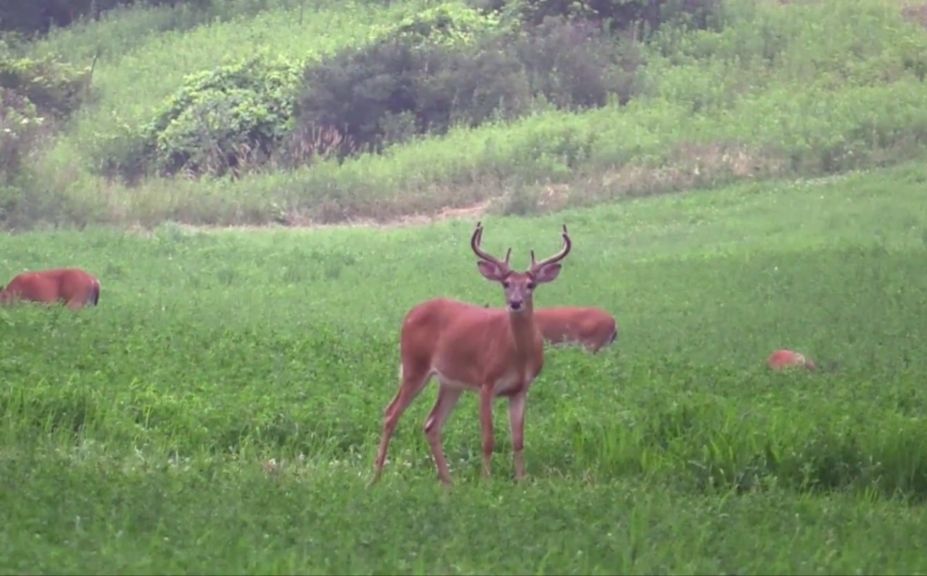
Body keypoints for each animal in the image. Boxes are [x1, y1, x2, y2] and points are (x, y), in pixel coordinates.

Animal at [374, 223, 568, 484]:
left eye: (530, 285)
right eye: (505, 283)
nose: (515, 303)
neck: (517, 355)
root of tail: (410, 314)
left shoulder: (520, 389)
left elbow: (518, 440)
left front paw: (522, 481)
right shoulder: (487, 382)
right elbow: (488, 439)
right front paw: (486, 482)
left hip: (450, 383)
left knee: (431, 424)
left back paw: (448, 482)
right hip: (414, 366)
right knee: (391, 413)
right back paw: (376, 477)